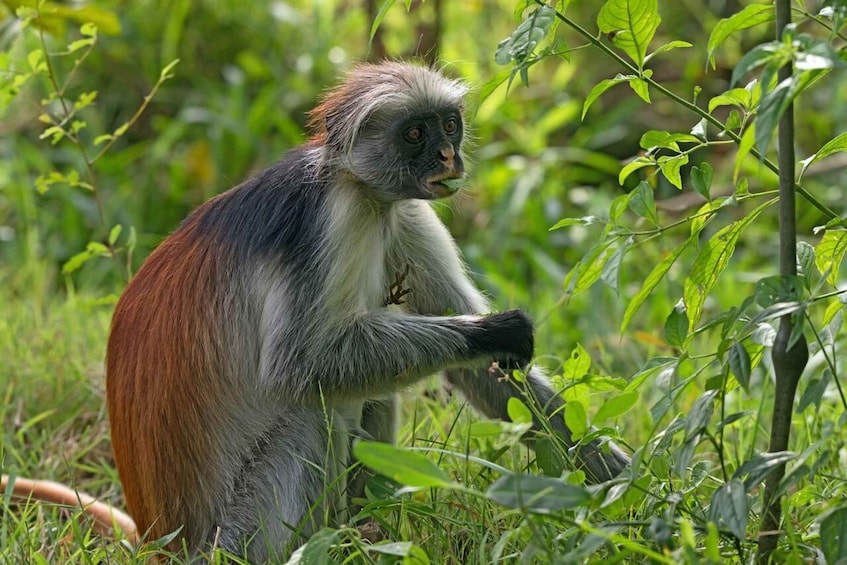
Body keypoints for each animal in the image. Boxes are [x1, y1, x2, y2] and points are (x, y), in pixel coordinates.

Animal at [100, 61, 631, 562]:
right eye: (415, 134)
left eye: (449, 125)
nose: (448, 156)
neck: (358, 186)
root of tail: (163, 543)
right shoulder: (326, 218)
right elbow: (299, 367)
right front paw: (494, 332)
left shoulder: (404, 210)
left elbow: (481, 374)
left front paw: (629, 493)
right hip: (238, 537)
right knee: (311, 407)